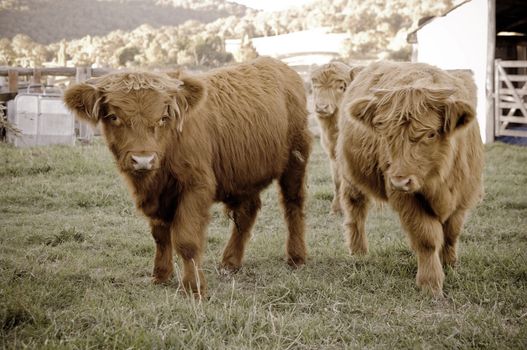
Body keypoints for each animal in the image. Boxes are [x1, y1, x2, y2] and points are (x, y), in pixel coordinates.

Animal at [63, 58, 312, 298]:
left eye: (163, 117)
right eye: (114, 116)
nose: (143, 160)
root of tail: (282, 67)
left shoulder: (196, 186)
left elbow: (186, 240)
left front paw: (194, 287)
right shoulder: (157, 196)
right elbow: (160, 235)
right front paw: (161, 275)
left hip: (295, 159)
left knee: (293, 204)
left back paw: (296, 257)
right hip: (244, 174)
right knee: (247, 212)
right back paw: (230, 262)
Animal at [338, 61, 486, 296]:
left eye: (431, 134)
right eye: (385, 134)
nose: (400, 181)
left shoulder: (463, 196)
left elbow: (452, 233)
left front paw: (451, 265)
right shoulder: (407, 200)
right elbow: (426, 238)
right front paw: (430, 283)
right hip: (350, 176)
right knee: (355, 211)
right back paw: (358, 251)